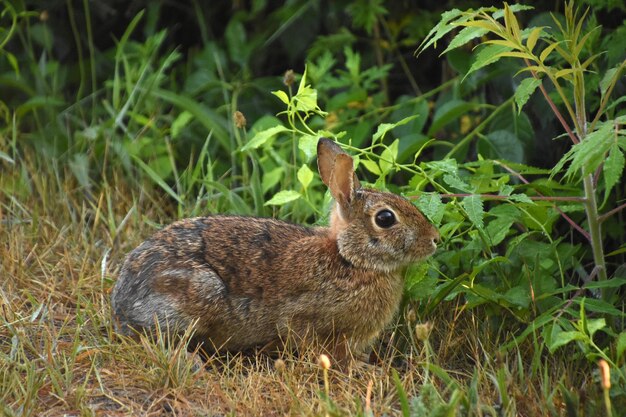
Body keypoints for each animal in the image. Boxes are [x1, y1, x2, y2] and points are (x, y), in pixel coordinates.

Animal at [109, 138, 436, 362]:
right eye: (385, 219)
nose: (435, 239)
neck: (349, 259)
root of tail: (122, 304)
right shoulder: (304, 317)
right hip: (198, 291)